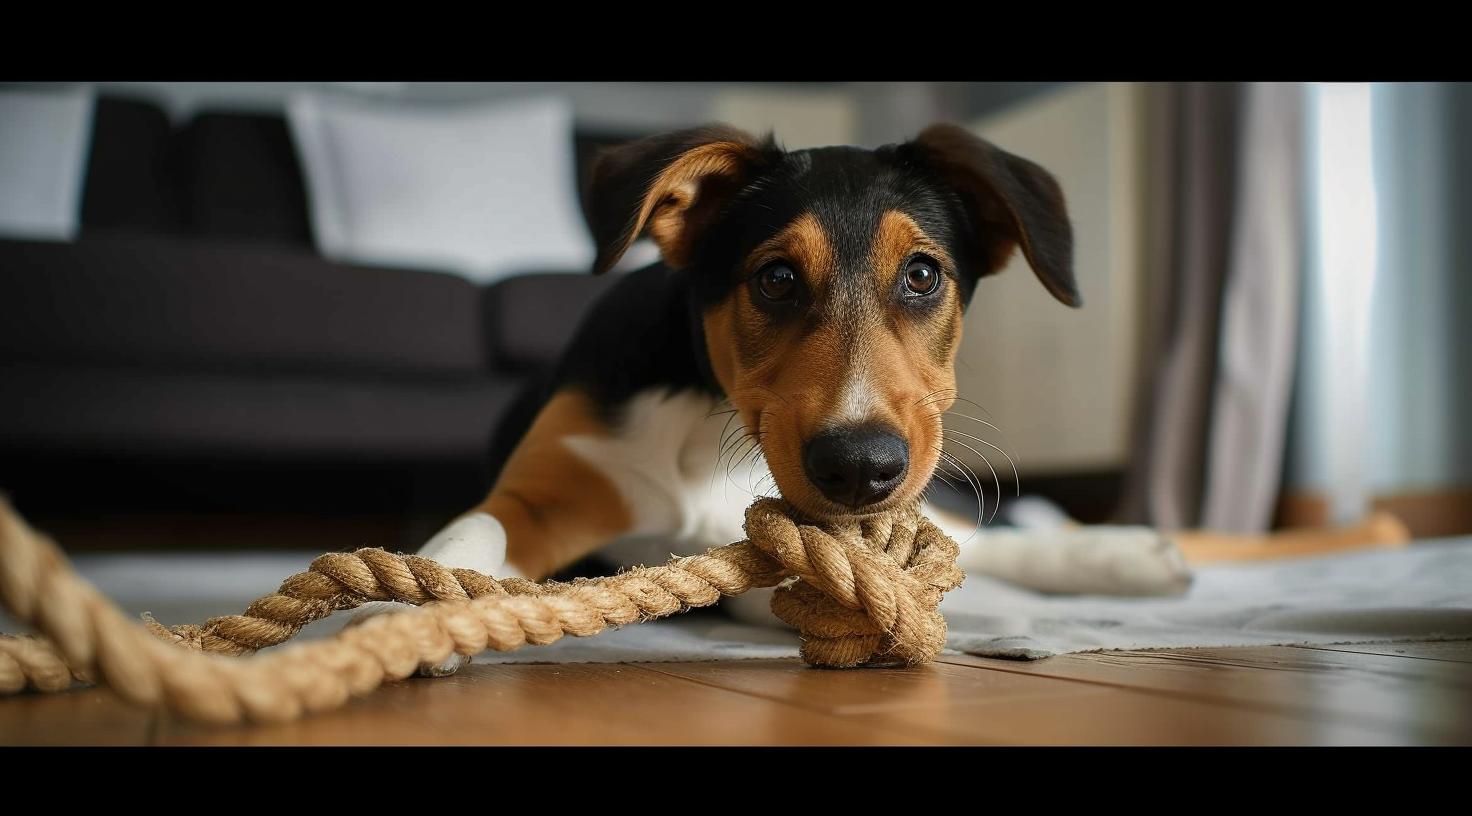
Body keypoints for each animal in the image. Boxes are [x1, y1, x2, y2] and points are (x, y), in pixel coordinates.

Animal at [368, 120, 1195, 665]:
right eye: (774, 278)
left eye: (923, 274)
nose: (860, 467)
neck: (708, 427)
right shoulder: (545, 493)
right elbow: (463, 541)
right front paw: (394, 614)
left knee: (984, 537)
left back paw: (1133, 557)